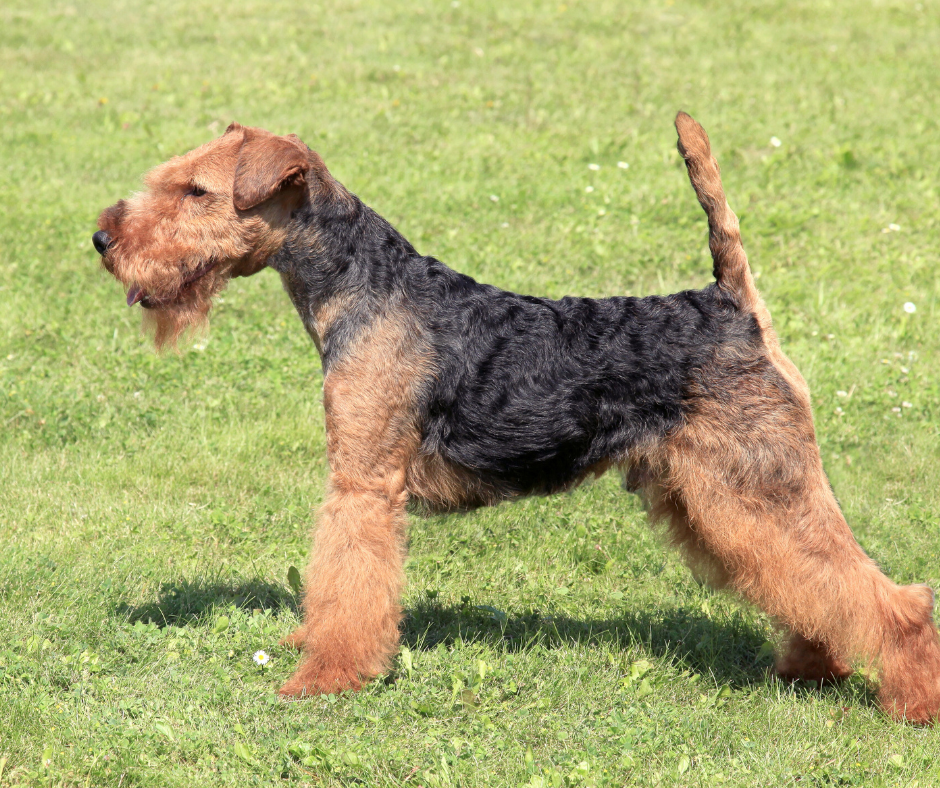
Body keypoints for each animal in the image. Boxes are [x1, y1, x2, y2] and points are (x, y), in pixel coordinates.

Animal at [92, 114, 940, 724]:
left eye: (197, 192)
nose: (102, 239)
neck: (361, 285)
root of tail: (733, 305)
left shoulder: (363, 483)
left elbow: (348, 583)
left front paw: (325, 677)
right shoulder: (362, 479)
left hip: (757, 482)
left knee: (886, 597)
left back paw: (912, 701)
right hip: (720, 497)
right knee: (815, 586)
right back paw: (811, 669)